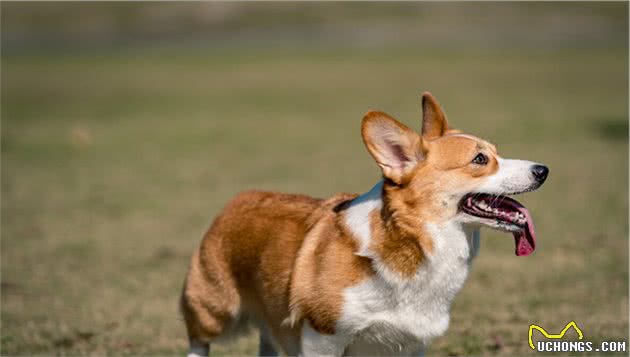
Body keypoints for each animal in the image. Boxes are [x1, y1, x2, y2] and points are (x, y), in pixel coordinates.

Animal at [181, 92, 548, 356]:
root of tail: (238, 199)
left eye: (495, 152)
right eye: (480, 160)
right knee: (199, 340)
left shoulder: (412, 345)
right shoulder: (322, 338)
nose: (543, 170)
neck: (415, 238)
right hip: (214, 310)